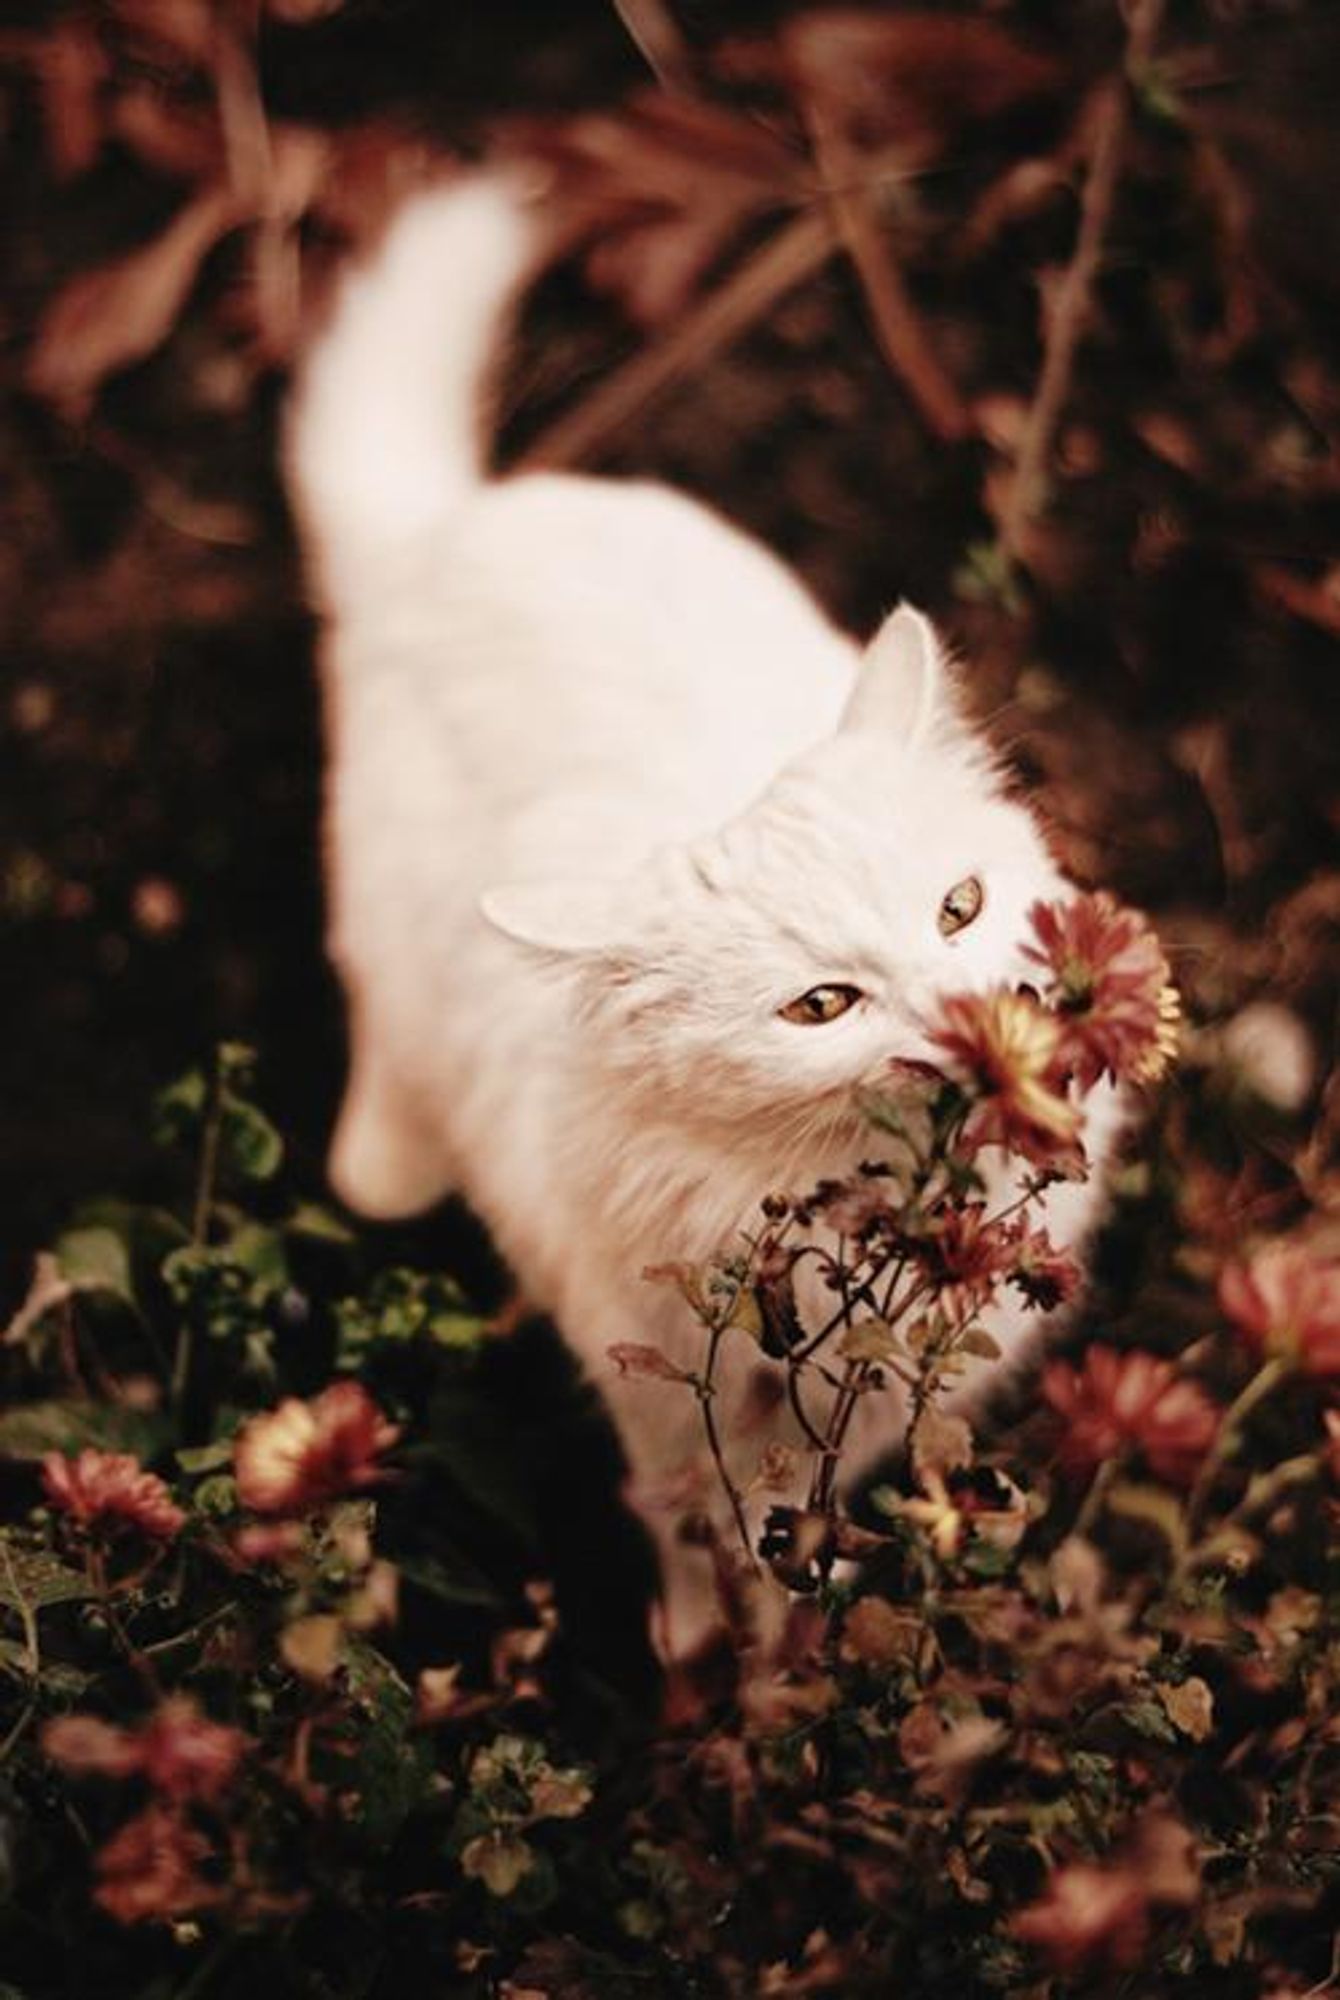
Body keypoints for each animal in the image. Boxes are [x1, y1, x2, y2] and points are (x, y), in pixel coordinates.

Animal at [294, 172, 1120, 1648]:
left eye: (960, 908)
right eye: (823, 1005)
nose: (983, 1016)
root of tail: (450, 535)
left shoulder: (892, 1392)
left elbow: (816, 1503)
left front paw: (797, 1624)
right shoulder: (654, 1381)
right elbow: (698, 1520)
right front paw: (713, 1647)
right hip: (391, 927)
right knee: (379, 1090)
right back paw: (389, 1149)